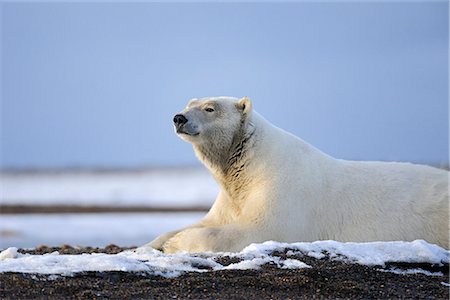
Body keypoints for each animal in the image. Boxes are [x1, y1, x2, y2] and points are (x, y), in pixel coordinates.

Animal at [149, 97, 450, 252]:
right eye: (188, 104)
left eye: (210, 108)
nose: (179, 118)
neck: (249, 161)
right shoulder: (231, 197)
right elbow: (210, 220)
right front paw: (154, 244)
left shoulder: (281, 191)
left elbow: (258, 229)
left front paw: (177, 243)